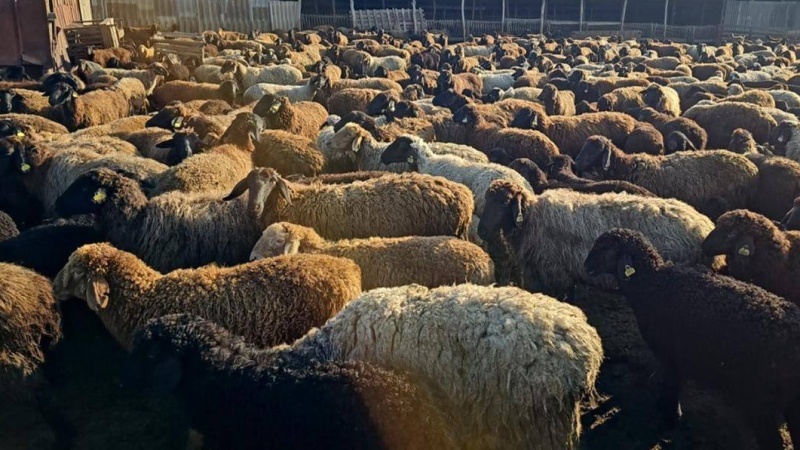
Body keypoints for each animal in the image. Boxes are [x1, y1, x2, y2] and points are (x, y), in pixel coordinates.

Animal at [477, 179, 716, 293]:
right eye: (487, 199)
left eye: (504, 201)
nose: (481, 231)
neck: (532, 219)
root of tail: (704, 225)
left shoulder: (556, 274)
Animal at [583, 228, 800, 450]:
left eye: (604, 248)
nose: (586, 267)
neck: (651, 284)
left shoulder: (668, 354)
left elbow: (671, 384)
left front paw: (670, 417)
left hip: (760, 398)